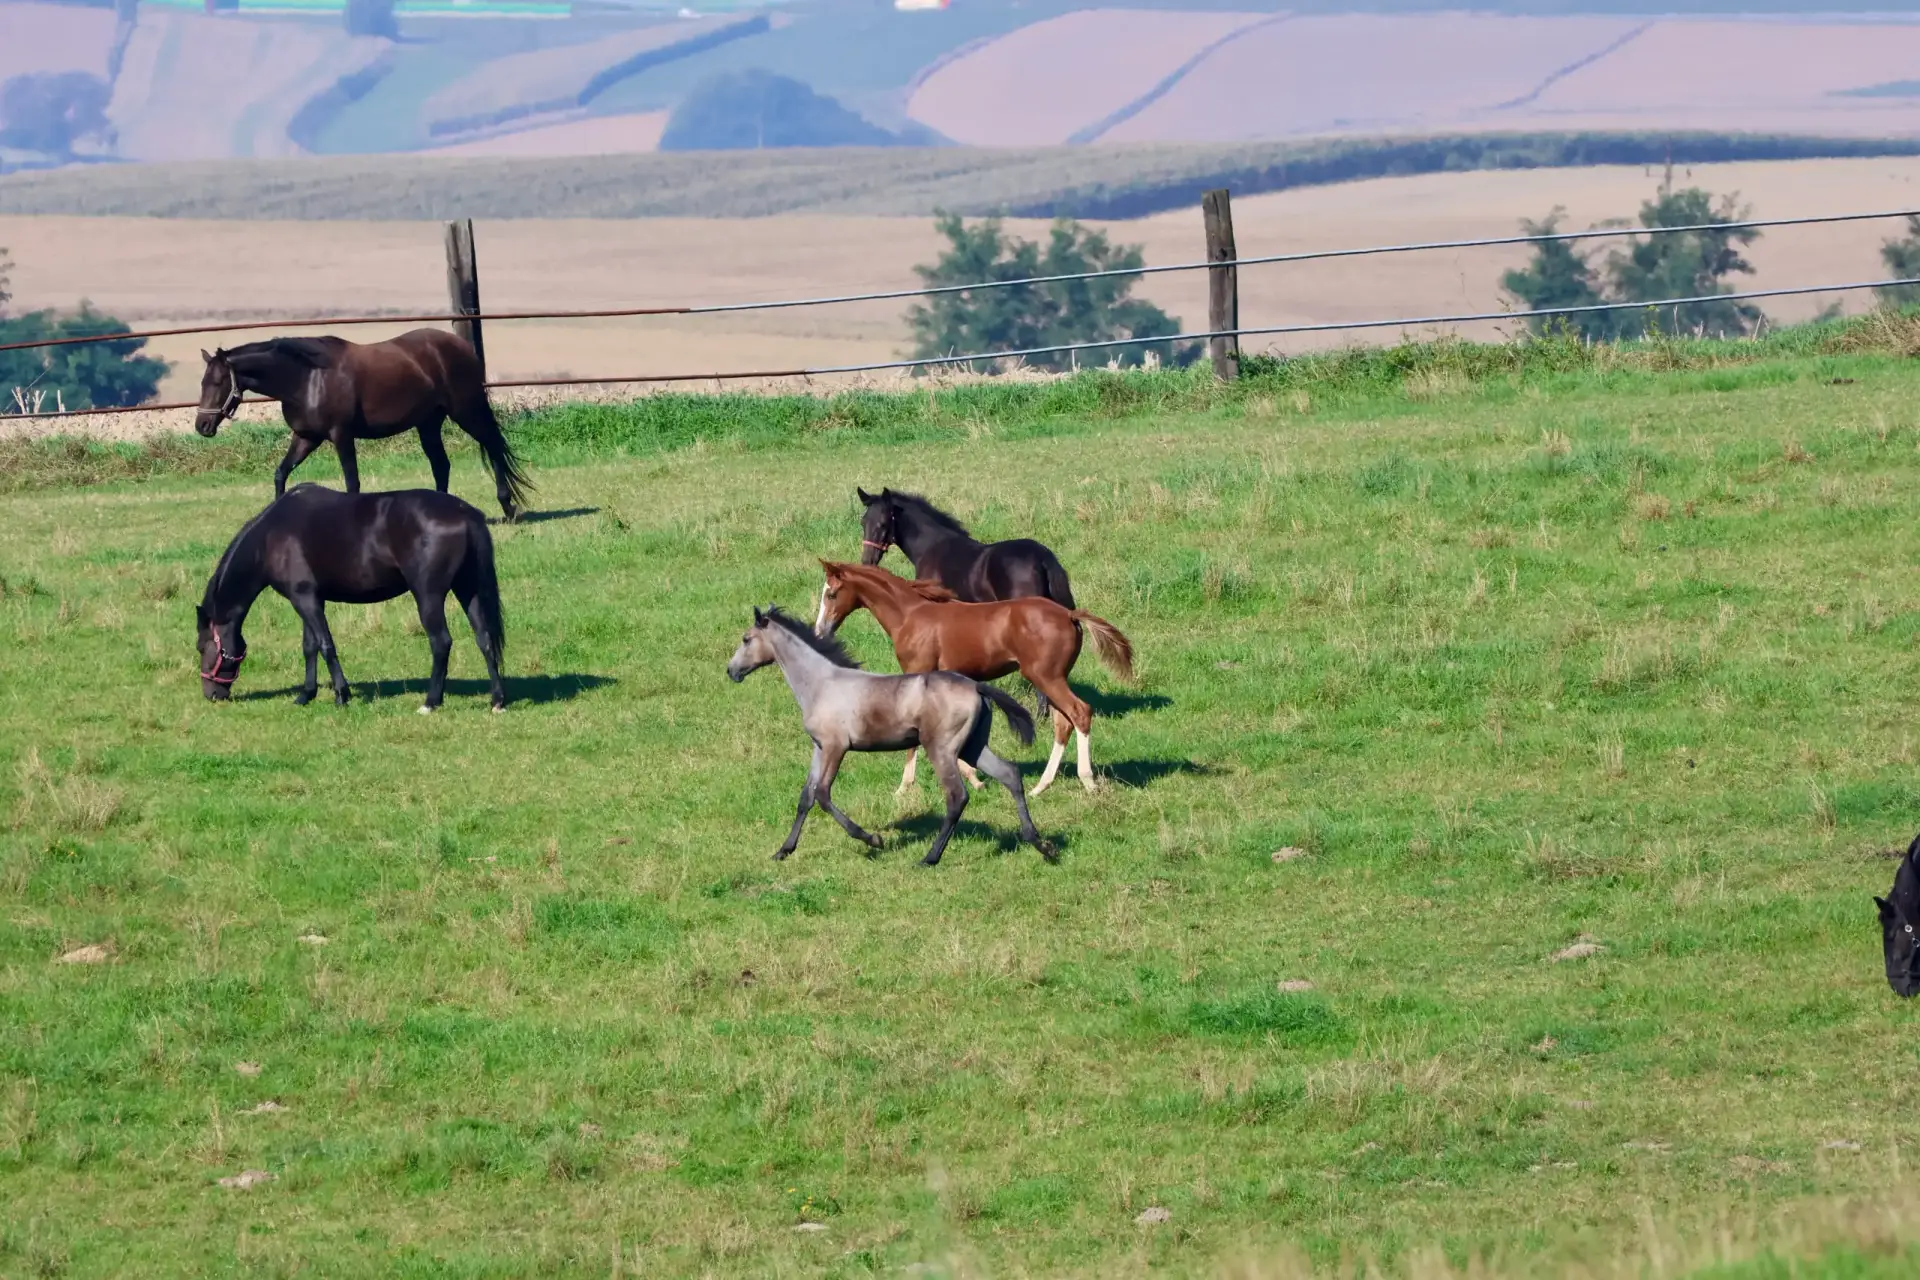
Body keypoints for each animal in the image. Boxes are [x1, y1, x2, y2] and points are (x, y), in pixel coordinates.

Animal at [193, 330, 532, 521]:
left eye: (219, 382)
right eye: (202, 382)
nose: (202, 425)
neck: (306, 378)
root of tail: (461, 346)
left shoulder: (341, 435)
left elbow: (352, 482)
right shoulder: (306, 437)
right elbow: (281, 473)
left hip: (466, 410)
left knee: (492, 446)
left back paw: (508, 507)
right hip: (428, 423)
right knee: (441, 464)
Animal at [197, 484, 507, 713]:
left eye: (202, 648)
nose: (212, 694)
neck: (271, 536)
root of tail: (465, 513)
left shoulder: (305, 600)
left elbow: (325, 645)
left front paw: (341, 695)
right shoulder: (309, 598)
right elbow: (309, 647)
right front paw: (306, 695)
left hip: (428, 595)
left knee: (441, 642)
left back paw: (430, 702)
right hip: (468, 589)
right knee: (485, 639)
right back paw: (497, 700)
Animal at [727, 606, 1054, 867]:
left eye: (746, 639)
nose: (731, 671)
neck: (822, 683)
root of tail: (975, 686)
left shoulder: (835, 747)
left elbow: (822, 795)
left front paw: (874, 839)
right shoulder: (819, 747)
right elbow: (805, 797)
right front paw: (783, 851)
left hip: (942, 749)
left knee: (956, 797)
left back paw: (929, 858)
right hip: (973, 747)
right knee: (1010, 774)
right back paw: (1041, 844)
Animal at [813, 561, 1133, 796]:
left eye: (831, 594)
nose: (820, 631)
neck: (910, 615)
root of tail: (1069, 614)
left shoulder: (916, 672)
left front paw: (904, 788)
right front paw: (974, 776)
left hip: (1046, 677)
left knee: (1080, 712)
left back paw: (1087, 780)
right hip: (1054, 678)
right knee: (1063, 722)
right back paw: (1041, 786)